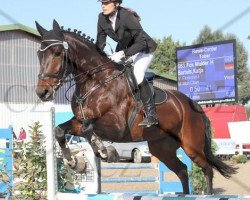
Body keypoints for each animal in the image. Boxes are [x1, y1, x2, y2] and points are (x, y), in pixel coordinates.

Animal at [34, 19, 236, 194]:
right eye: (39, 54)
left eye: (58, 53)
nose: (42, 92)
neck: (96, 82)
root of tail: (194, 105)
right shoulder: (79, 120)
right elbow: (61, 130)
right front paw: (74, 162)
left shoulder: (116, 127)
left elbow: (87, 129)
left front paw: (105, 151)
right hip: (162, 148)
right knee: (182, 170)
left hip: (191, 146)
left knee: (207, 169)